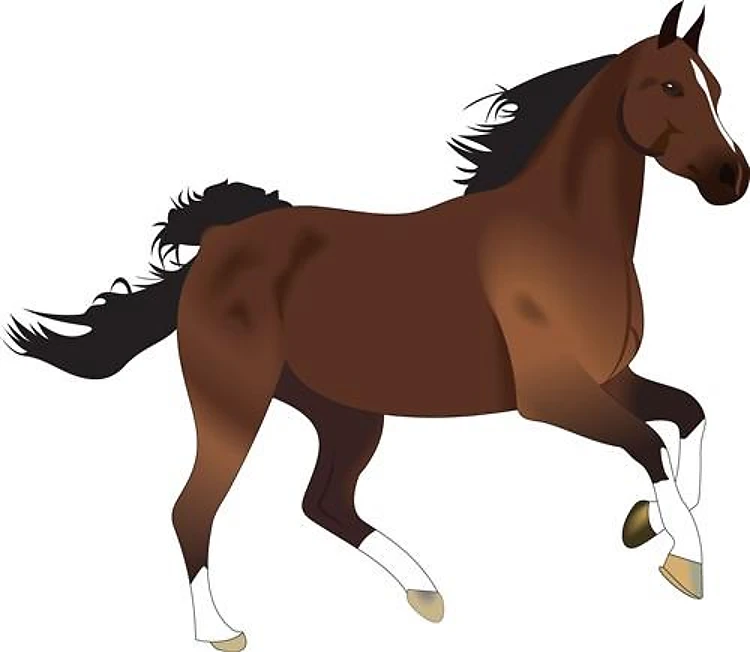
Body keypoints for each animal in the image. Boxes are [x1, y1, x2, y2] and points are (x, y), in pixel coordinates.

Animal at [7, 3, 747, 650]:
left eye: (715, 87)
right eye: (673, 86)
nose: (731, 178)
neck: (563, 235)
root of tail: (219, 242)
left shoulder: (611, 378)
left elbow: (688, 416)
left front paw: (653, 521)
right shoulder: (551, 397)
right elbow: (649, 443)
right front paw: (686, 562)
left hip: (344, 413)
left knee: (324, 503)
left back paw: (425, 592)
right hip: (234, 402)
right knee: (193, 508)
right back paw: (222, 630)